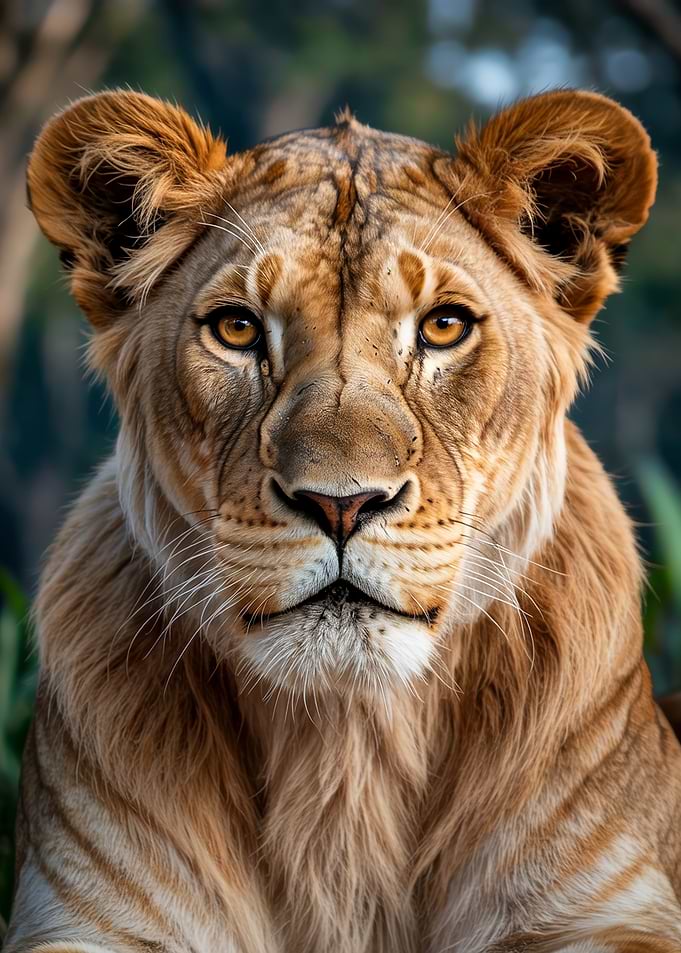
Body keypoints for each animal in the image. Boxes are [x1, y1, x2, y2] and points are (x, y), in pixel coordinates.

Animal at [5, 87, 681, 953]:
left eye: (442, 326)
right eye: (237, 328)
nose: (340, 503)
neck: (347, 740)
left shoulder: (604, 910)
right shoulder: (85, 916)